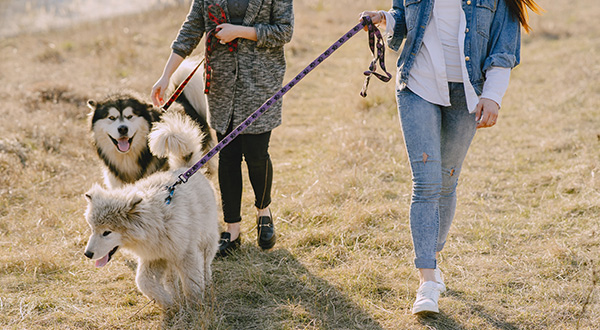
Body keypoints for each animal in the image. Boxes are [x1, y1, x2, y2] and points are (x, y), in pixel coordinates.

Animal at [82, 113, 218, 310]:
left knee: (206, 263)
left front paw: (195, 307)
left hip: (207, 238)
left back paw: (207, 282)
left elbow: (192, 283)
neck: (156, 222)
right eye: (93, 230)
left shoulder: (186, 254)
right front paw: (168, 303)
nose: (87, 254)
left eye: (107, 232)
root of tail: (185, 169)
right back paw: (173, 293)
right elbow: (143, 282)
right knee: (171, 278)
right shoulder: (155, 256)